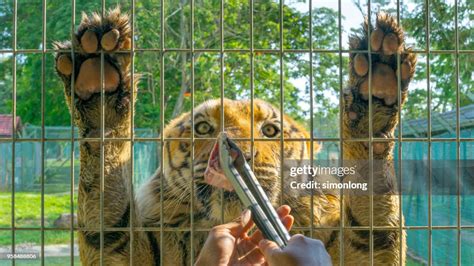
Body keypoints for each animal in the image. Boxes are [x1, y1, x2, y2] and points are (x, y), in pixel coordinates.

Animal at [54, 7, 414, 264]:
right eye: (203, 128)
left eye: (270, 131)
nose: (239, 152)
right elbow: (107, 212)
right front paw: (101, 95)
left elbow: (371, 228)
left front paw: (375, 93)